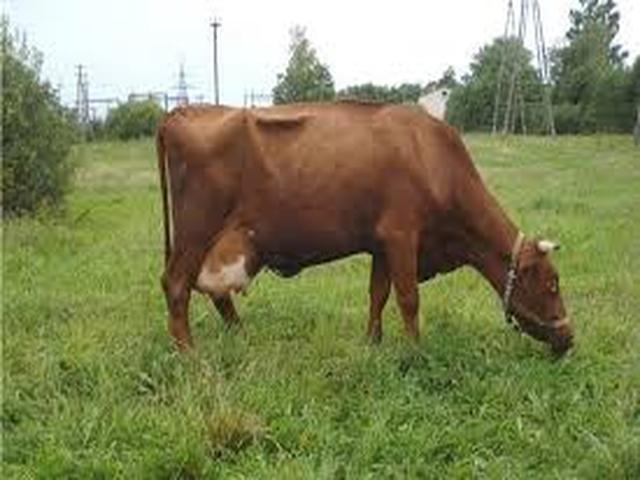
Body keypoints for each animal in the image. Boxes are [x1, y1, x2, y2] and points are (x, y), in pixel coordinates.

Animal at [155, 102, 573, 355]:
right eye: (552, 284)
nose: (569, 339)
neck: (431, 158)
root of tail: (182, 110)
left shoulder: (380, 243)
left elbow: (378, 294)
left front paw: (373, 342)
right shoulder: (402, 235)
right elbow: (408, 298)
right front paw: (415, 351)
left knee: (214, 291)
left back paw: (241, 337)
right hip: (195, 231)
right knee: (176, 284)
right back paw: (188, 354)